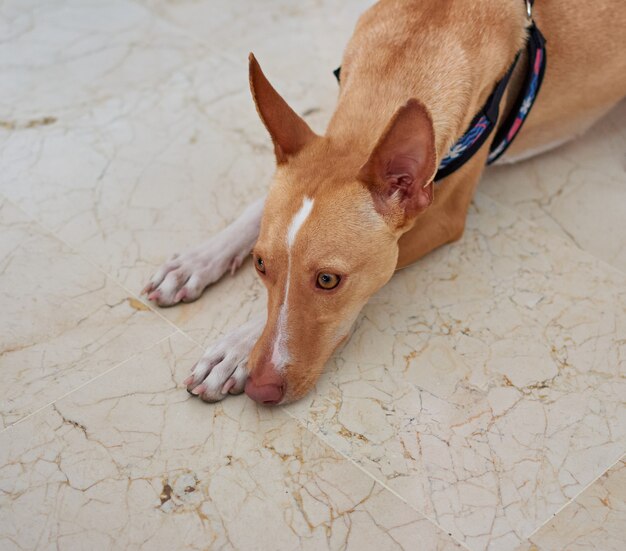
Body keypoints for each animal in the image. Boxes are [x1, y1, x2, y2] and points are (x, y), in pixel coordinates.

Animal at [141, 0, 624, 406]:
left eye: (329, 281)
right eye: (260, 265)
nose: (262, 389)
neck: (416, 42)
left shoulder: (441, 217)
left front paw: (235, 350)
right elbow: (256, 208)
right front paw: (197, 261)